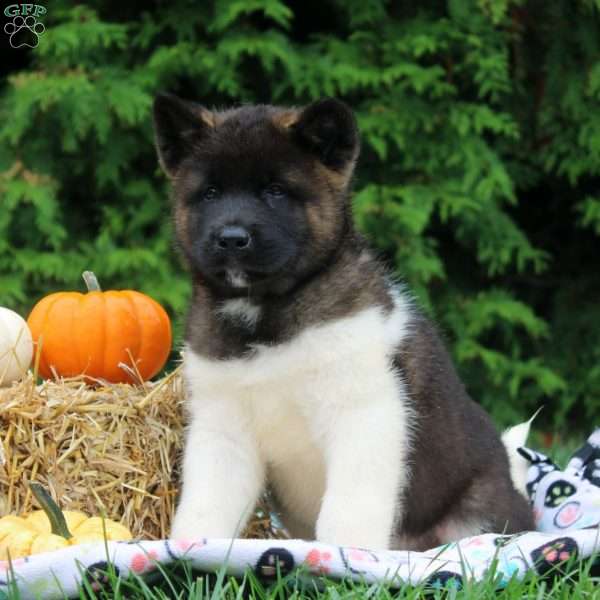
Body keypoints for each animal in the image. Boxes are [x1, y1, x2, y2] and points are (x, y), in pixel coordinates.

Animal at [152, 92, 532, 548]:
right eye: (210, 192)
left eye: (275, 191)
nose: (231, 238)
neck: (267, 310)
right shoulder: (222, 427)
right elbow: (206, 505)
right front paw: (188, 550)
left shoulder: (363, 415)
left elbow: (348, 509)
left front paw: (348, 557)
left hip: (477, 512)